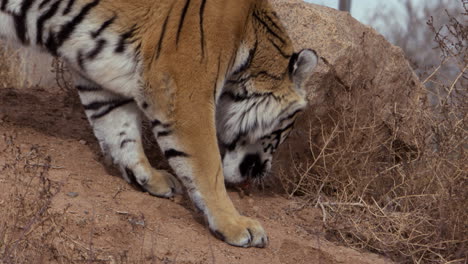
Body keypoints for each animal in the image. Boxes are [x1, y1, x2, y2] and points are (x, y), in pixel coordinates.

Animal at [0, 0, 318, 248]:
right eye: (287, 128)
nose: (264, 172)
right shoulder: (184, 90)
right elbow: (208, 168)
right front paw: (236, 225)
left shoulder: (99, 74)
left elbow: (119, 129)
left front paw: (149, 177)